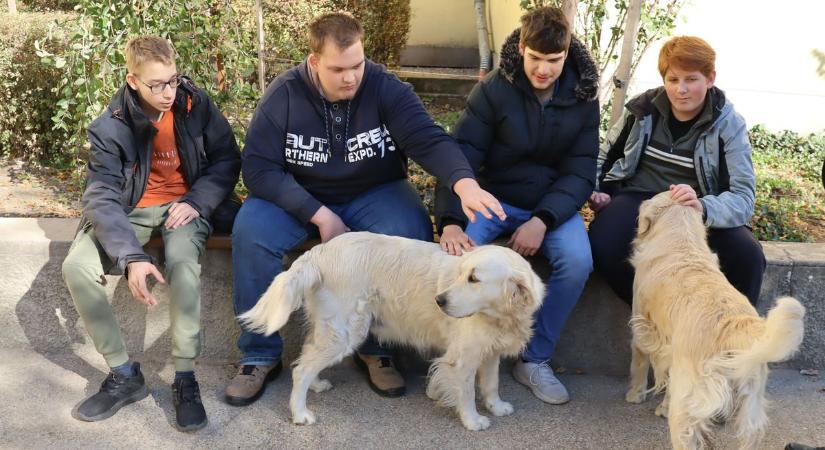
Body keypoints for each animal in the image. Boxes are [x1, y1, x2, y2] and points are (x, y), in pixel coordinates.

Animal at [238, 230, 548, 430]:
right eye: (463, 274)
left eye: (474, 279)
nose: (439, 301)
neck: (500, 315)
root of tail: (317, 252)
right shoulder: (462, 358)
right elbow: (467, 392)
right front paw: (473, 421)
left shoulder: (491, 351)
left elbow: (492, 384)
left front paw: (497, 407)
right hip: (347, 332)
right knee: (301, 369)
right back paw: (301, 413)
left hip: (330, 326)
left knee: (305, 356)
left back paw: (316, 385)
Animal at [628, 192, 800, 448]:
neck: (681, 242)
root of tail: (733, 325)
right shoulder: (672, 352)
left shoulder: (642, 325)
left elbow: (639, 362)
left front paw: (635, 395)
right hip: (750, 398)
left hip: (689, 402)